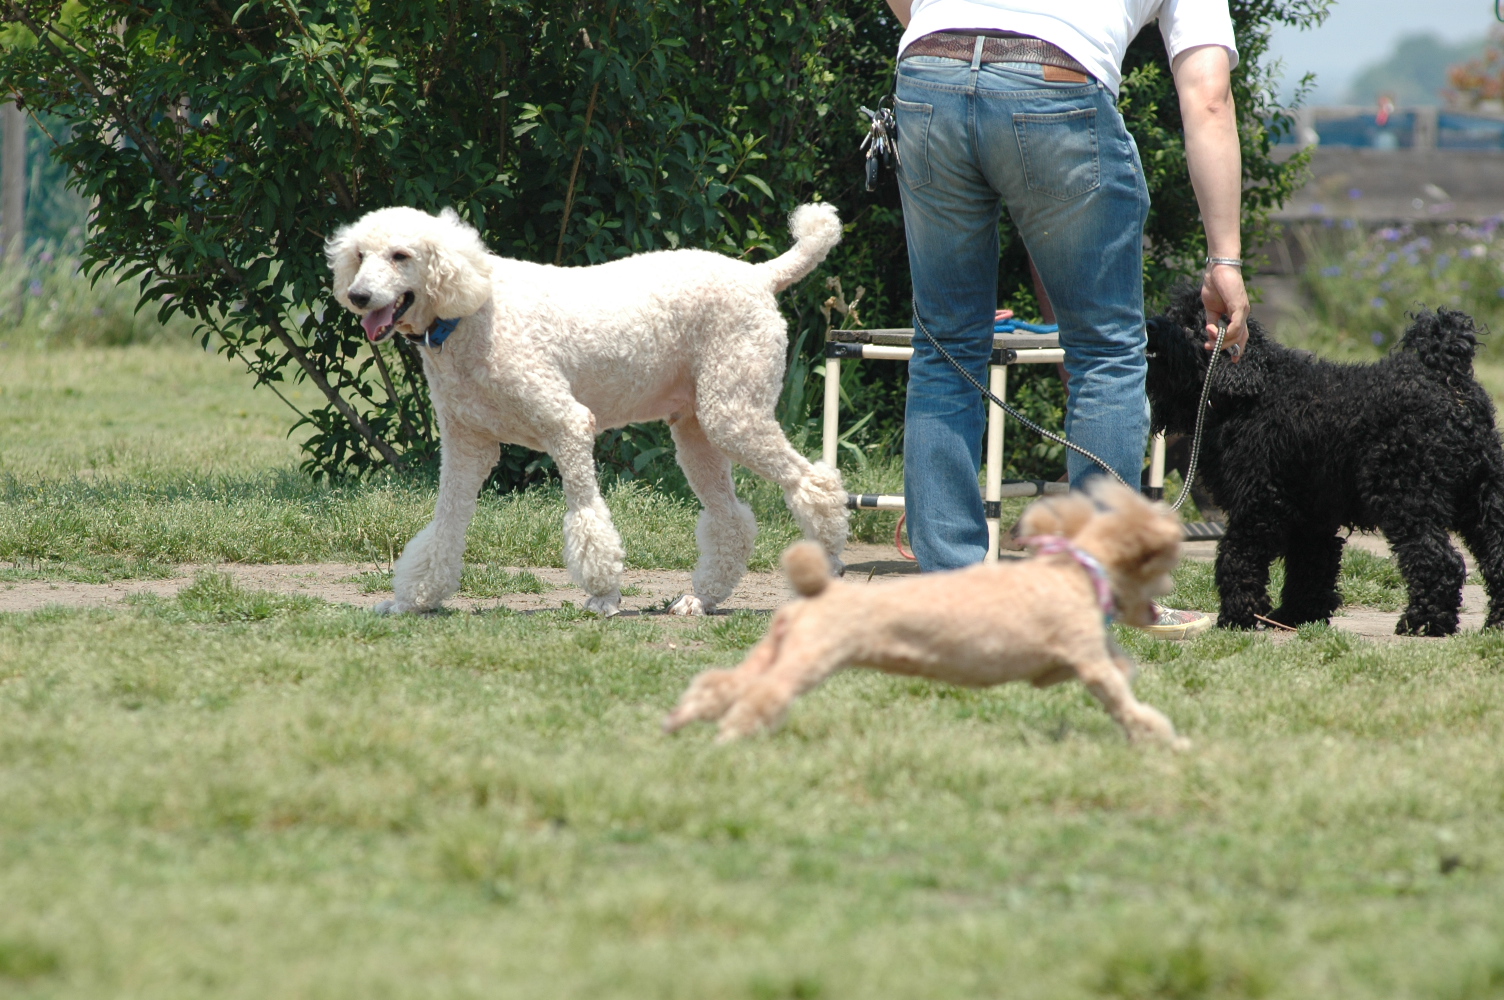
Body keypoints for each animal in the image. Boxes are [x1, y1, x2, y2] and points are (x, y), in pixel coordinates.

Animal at [327, 204, 850, 617]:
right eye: (360, 256)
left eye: (401, 256)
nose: (358, 296)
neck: (471, 311)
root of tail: (758, 275)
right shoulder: (465, 446)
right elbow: (446, 527)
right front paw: (415, 598)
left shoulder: (567, 423)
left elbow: (586, 514)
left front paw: (603, 595)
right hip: (697, 431)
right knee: (731, 520)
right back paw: (700, 599)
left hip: (734, 414)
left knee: (814, 484)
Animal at [665, 482, 1190, 748]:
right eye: (1164, 561)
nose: (1166, 595)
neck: (1077, 570)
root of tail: (815, 594)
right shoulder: (1085, 656)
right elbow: (1121, 694)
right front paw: (1165, 738)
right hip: (808, 658)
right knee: (762, 696)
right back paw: (730, 739)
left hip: (778, 650)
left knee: (725, 684)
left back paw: (683, 720)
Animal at [1146, 288, 1504, 635]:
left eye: (1190, 325)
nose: (1148, 327)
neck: (1250, 390)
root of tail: (1446, 376)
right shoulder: (1311, 515)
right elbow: (1311, 567)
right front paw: (1297, 616)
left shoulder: (1258, 505)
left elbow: (1238, 558)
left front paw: (1237, 616)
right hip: (1481, 494)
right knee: (1496, 554)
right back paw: (1495, 622)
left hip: (1408, 495)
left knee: (1439, 560)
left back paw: (1424, 622)